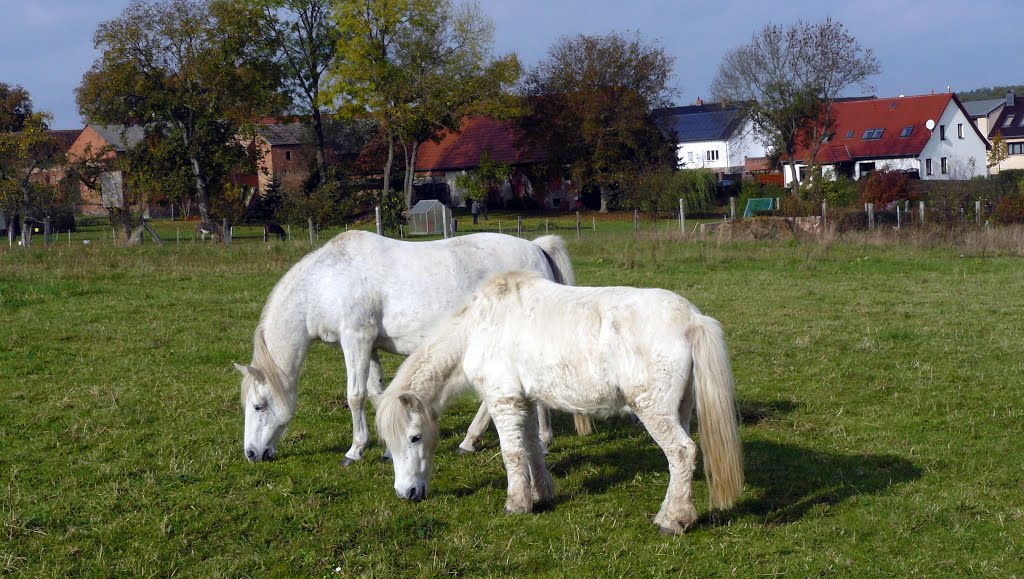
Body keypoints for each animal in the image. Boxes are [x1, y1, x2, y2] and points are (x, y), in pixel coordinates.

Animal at [234, 230, 589, 465]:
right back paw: (491, 441)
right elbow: (376, 394)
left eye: (258, 406)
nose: (251, 453)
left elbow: (355, 396)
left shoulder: (356, 340)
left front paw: (355, 451)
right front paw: (387, 448)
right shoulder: (370, 346)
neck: (326, 283)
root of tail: (537, 249)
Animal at [376, 270, 745, 532]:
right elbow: (531, 448)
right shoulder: (524, 401)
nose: (406, 494)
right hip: (679, 409)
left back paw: (671, 522)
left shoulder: (503, 401)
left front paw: (516, 504)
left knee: (682, 453)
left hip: (653, 410)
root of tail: (692, 319)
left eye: (415, 437)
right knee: (678, 463)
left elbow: (512, 453)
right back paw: (678, 513)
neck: (476, 329)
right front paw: (541, 495)